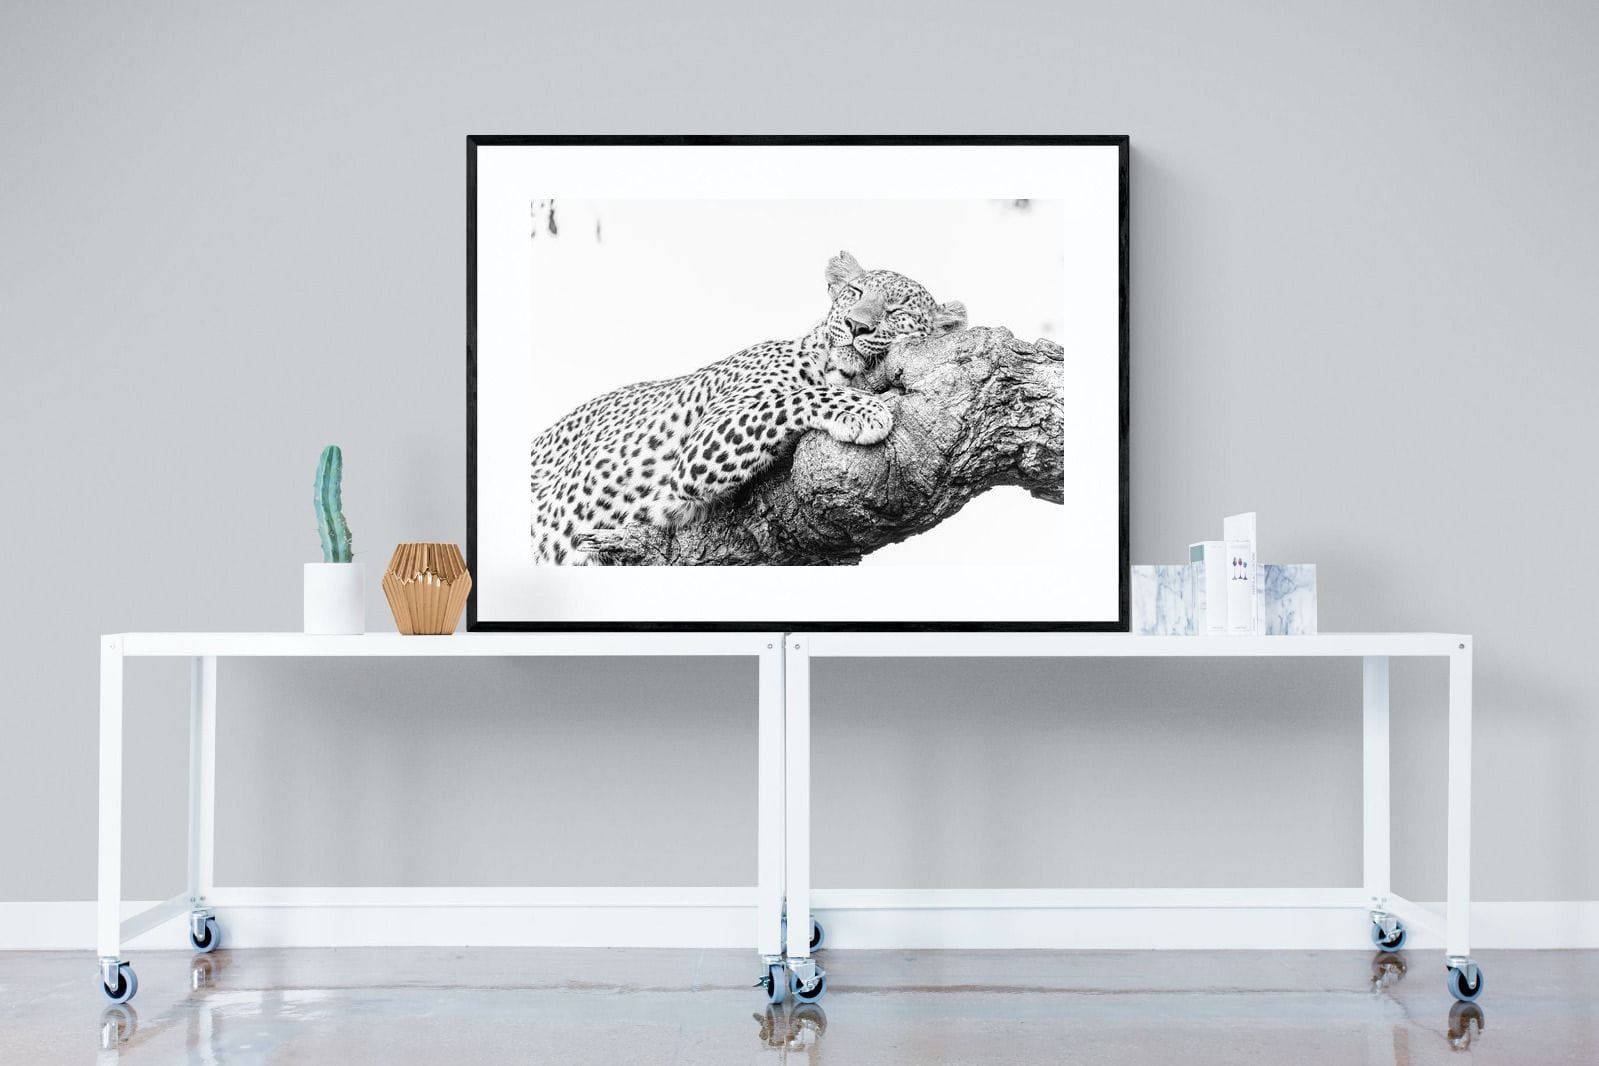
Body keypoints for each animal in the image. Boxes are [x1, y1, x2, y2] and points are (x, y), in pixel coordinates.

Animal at [529, 250, 966, 564]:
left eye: (898, 311)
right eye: (856, 293)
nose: (857, 325)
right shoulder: (700, 446)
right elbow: (791, 398)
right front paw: (864, 410)